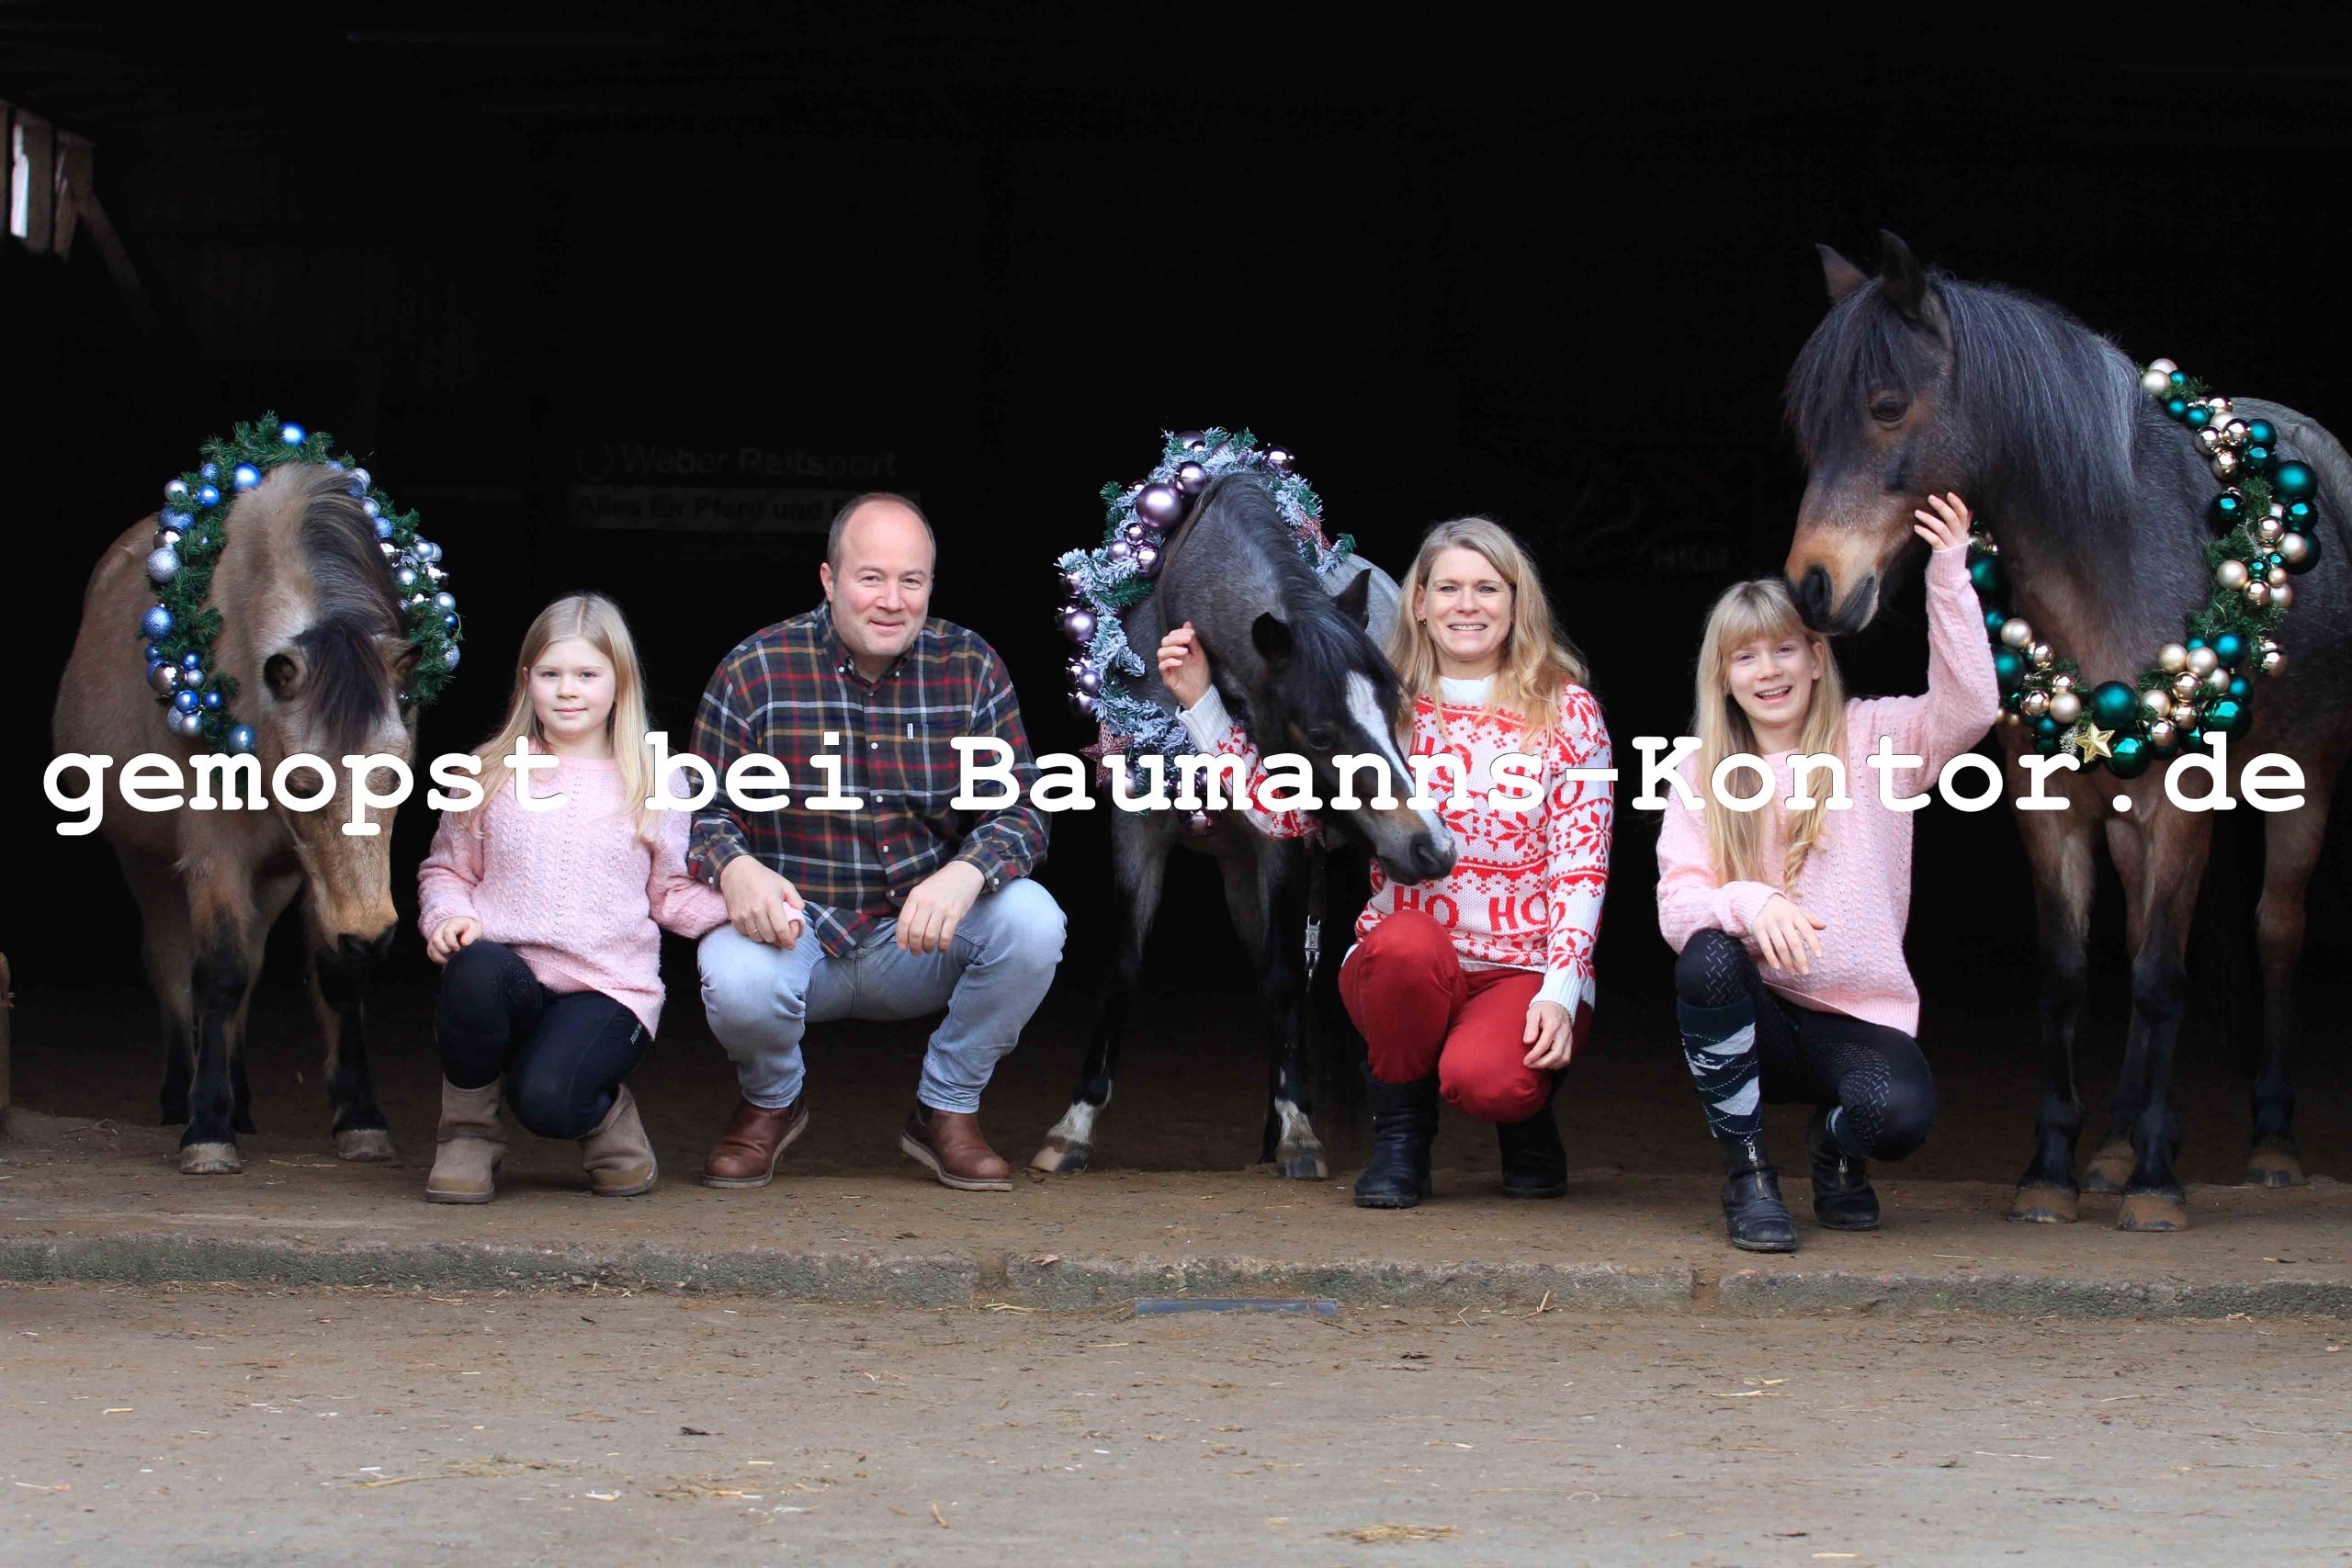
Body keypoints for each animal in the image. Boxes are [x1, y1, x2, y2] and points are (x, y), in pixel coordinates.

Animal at [53, 463, 420, 1174]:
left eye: (394, 775)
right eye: (303, 782)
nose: (372, 935)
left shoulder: (314, 877)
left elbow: (329, 976)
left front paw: (360, 1118)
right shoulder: (213, 853)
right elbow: (215, 974)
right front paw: (205, 1131)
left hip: (274, 875)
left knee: (248, 965)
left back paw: (242, 1104)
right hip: (145, 863)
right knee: (174, 964)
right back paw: (182, 1098)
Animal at [1030, 473, 1458, 1178]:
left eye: (1396, 711)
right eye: (1319, 733)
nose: (1434, 847)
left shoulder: (1277, 848)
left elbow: (1286, 978)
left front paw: (1299, 1132)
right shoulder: (1136, 831)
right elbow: (1123, 966)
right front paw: (1074, 1126)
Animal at [1785, 231, 2352, 1230]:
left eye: (1886, 407)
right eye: (1809, 428)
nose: (1812, 587)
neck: (2116, 562)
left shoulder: (2181, 807)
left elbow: (2161, 979)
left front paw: (2159, 1185)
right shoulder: (2050, 809)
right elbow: (2064, 973)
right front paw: (2054, 1167)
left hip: (2303, 782)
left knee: (2276, 931)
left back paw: (2269, 1145)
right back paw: (2118, 1147)